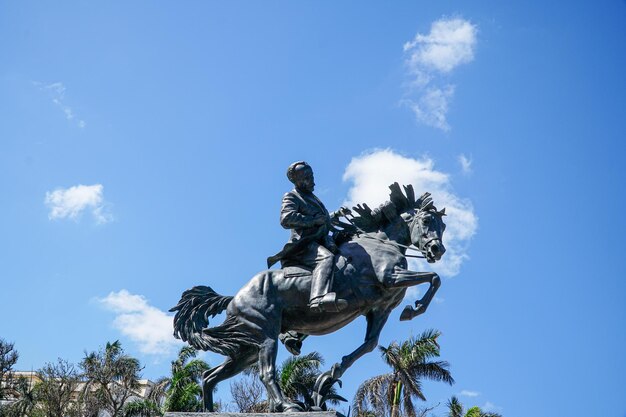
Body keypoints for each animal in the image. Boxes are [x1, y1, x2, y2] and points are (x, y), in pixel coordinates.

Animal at [171, 184, 444, 412]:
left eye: (442, 227)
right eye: (426, 220)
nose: (437, 250)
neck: (381, 244)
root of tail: (234, 298)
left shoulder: (379, 309)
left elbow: (369, 345)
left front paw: (325, 381)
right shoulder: (391, 277)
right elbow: (434, 277)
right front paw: (414, 308)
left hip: (246, 348)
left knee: (209, 376)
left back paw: (207, 410)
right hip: (266, 335)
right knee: (266, 373)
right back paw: (287, 406)